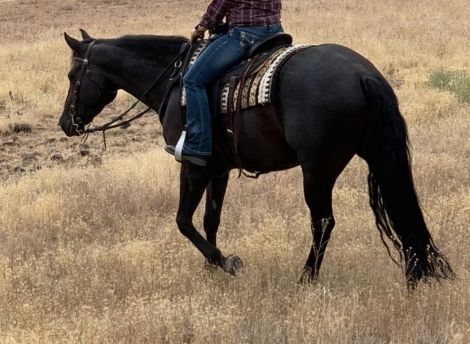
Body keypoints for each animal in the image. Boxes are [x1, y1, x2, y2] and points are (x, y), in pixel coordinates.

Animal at [57, 29, 454, 288]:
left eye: (73, 74)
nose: (65, 124)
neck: (175, 80)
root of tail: (362, 73)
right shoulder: (217, 168)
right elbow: (210, 219)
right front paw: (211, 267)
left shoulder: (192, 164)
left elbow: (183, 220)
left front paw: (227, 263)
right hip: (377, 156)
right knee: (399, 206)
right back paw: (417, 273)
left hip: (318, 169)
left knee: (323, 222)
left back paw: (306, 278)